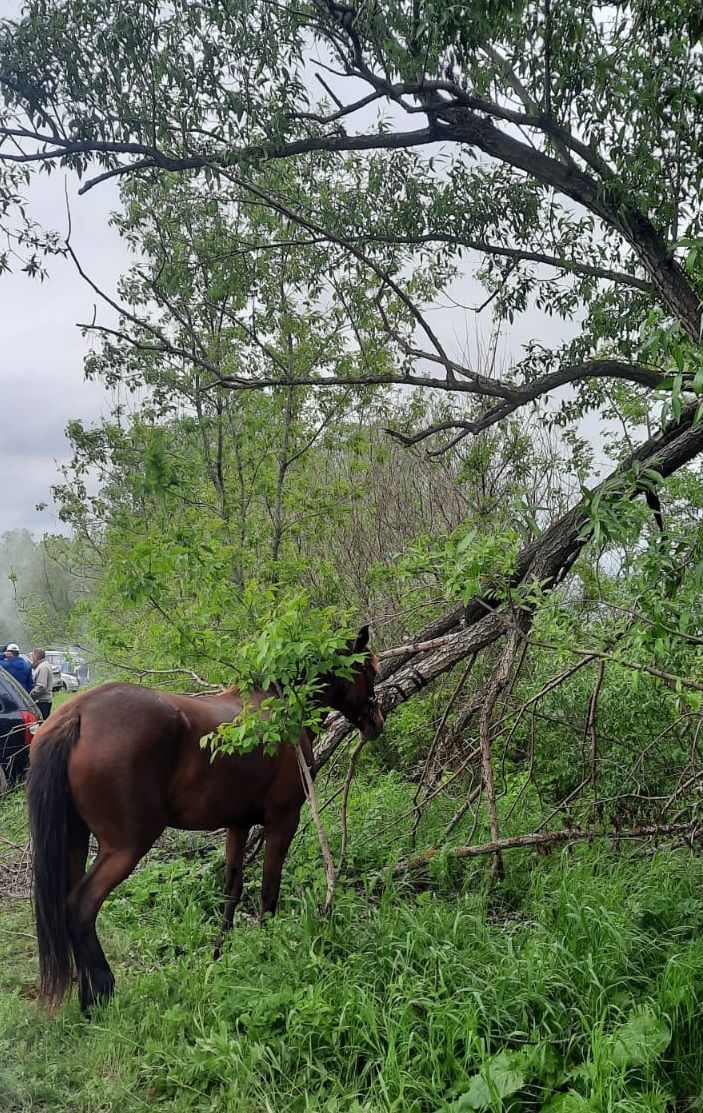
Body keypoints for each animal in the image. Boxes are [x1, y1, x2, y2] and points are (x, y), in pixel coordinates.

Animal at [27, 632, 382, 1015]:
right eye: (369, 671)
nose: (377, 723)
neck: (277, 709)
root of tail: (78, 713)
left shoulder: (238, 825)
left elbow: (232, 888)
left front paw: (219, 954)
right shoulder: (282, 820)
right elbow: (269, 891)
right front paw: (269, 950)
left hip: (75, 840)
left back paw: (86, 996)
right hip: (126, 847)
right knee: (81, 906)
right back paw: (102, 992)